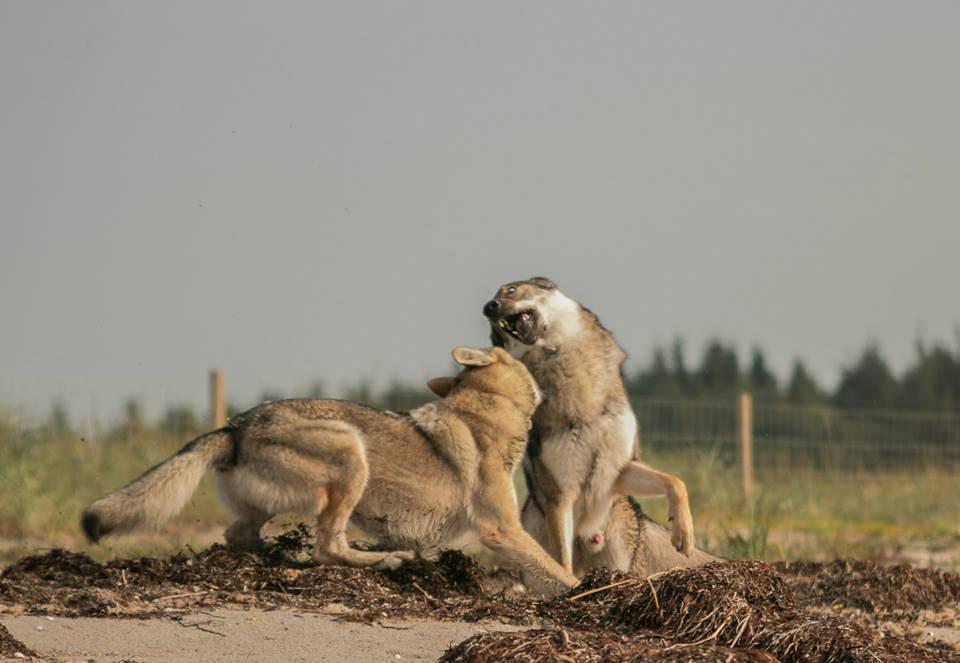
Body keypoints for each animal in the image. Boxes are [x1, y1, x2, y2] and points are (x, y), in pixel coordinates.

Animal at [82, 348, 576, 592]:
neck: (487, 409)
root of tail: (237, 426)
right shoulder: (502, 529)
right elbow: (556, 568)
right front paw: (588, 591)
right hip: (351, 455)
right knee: (328, 548)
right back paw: (386, 561)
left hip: (270, 505)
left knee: (243, 537)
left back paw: (281, 556)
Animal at [488, 278, 712, 588]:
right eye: (495, 328)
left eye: (510, 290)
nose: (488, 308)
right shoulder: (560, 495)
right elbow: (562, 562)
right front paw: (573, 590)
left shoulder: (620, 468)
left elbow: (676, 482)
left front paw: (684, 533)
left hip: (617, 551)